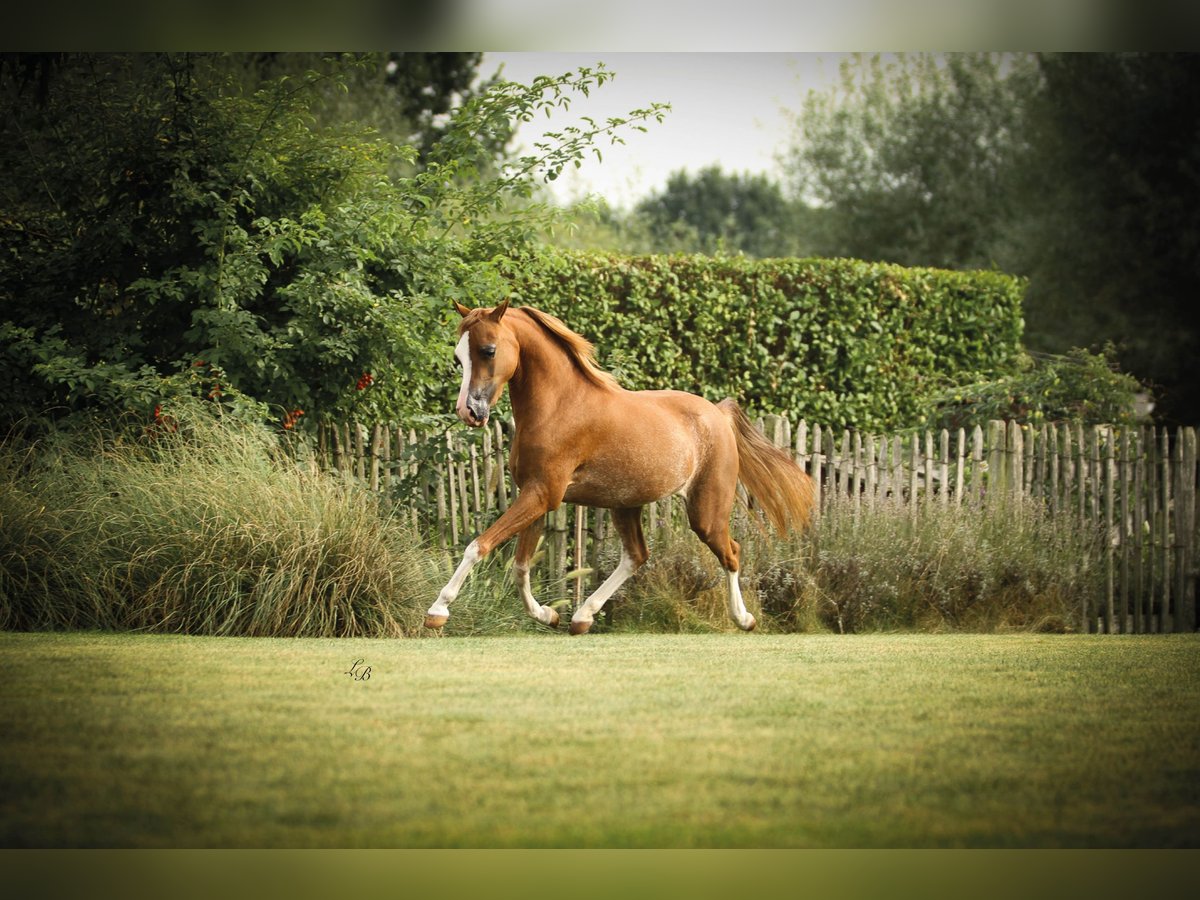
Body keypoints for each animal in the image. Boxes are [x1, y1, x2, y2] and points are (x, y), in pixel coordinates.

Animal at [424, 301, 816, 633]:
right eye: (458, 357)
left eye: (488, 350)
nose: (469, 412)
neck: (559, 407)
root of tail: (718, 414)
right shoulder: (534, 494)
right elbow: (520, 566)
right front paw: (548, 615)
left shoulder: (543, 495)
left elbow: (479, 546)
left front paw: (437, 611)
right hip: (625, 504)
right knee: (637, 556)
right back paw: (582, 617)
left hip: (706, 511)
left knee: (731, 552)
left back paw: (744, 619)